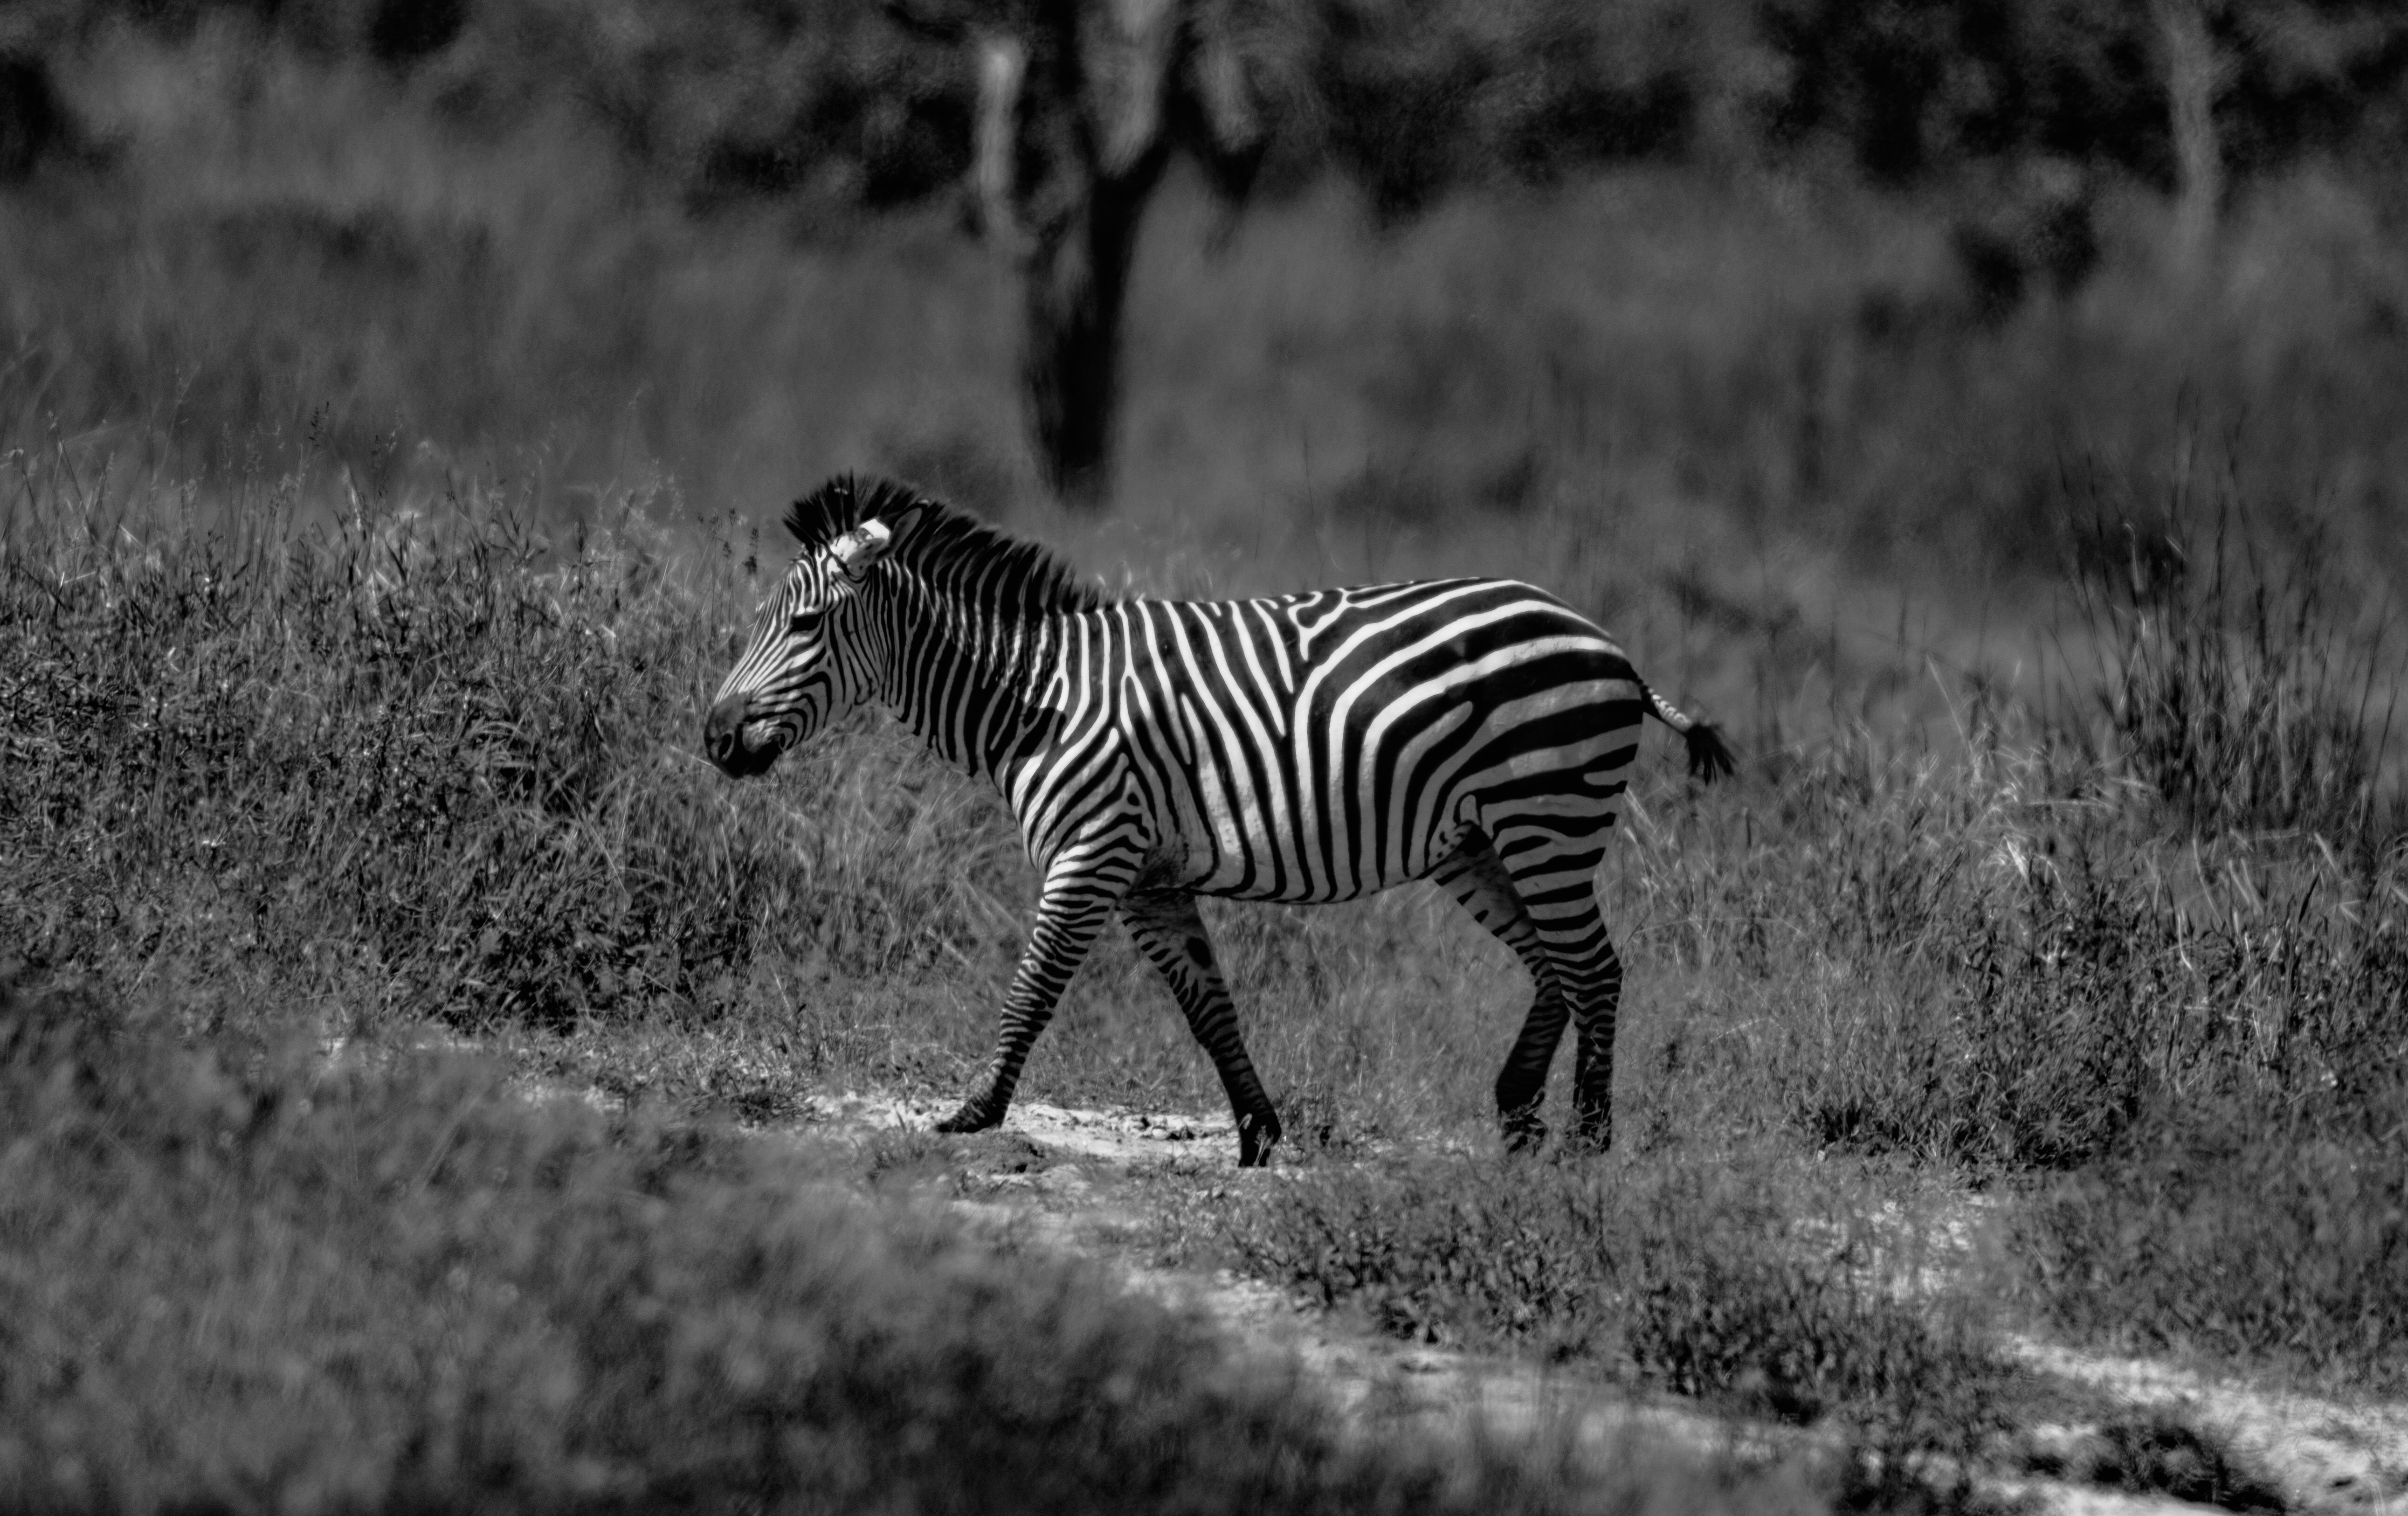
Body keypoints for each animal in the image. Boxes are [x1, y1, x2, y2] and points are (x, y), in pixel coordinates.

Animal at [704, 475, 1733, 1166]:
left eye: (800, 626)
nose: (713, 736)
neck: (1041, 698)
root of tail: (1603, 640)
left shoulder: (1090, 853)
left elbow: (1032, 989)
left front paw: (974, 1111)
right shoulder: (1146, 878)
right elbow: (1208, 1006)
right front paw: (1256, 1132)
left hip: (1545, 815)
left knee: (1593, 967)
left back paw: (1588, 1139)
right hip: (1479, 842)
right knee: (1554, 965)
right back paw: (1519, 1115)